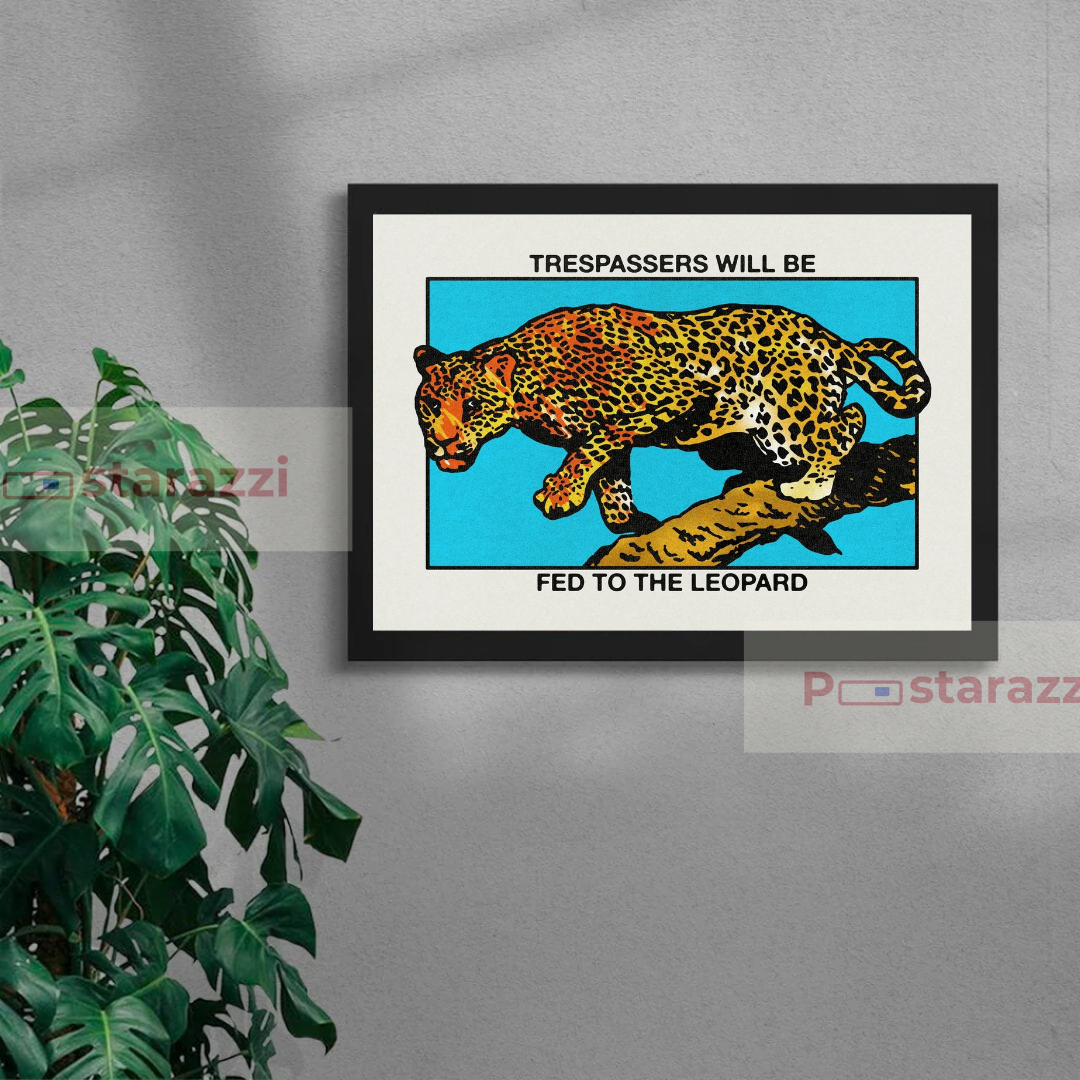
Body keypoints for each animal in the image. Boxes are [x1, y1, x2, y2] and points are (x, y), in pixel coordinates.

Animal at [413, 303, 930, 536]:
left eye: (472, 407)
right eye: (430, 408)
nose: (441, 444)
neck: (528, 382)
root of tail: (830, 336)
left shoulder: (675, 394)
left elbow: (597, 443)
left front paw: (561, 493)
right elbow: (611, 469)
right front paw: (626, 521)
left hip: (786, 414)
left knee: (849, 420)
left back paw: (811, 482)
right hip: (770, 430)